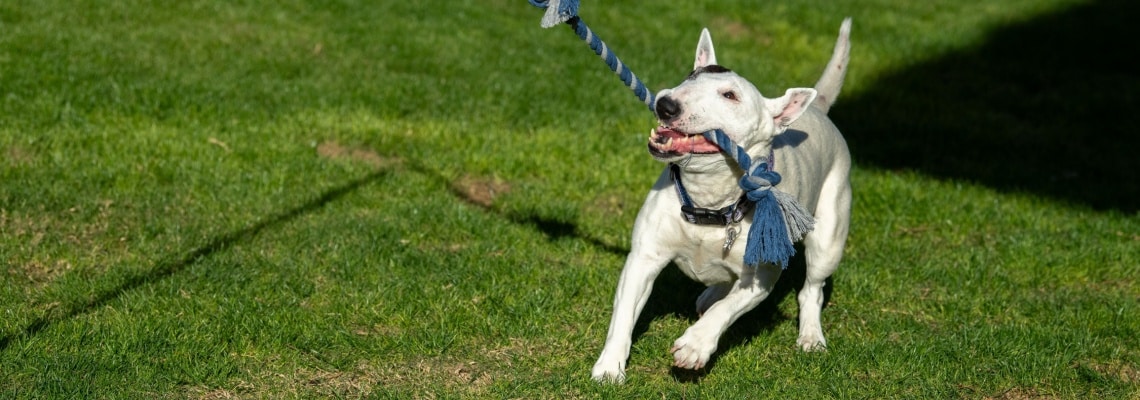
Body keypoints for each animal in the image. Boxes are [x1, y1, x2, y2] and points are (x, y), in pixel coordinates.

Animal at [592, 18, 852, 382]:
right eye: (691, 75)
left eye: (730, 95)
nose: (666, 103)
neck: (710, 201)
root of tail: (816, 109)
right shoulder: (643, 257)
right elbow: (625, 313)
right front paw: (609, 367)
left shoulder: (761, 280)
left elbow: (727, 310)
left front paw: (694, 346)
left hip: (829, 236)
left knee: (811, 289)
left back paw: (811, 335)